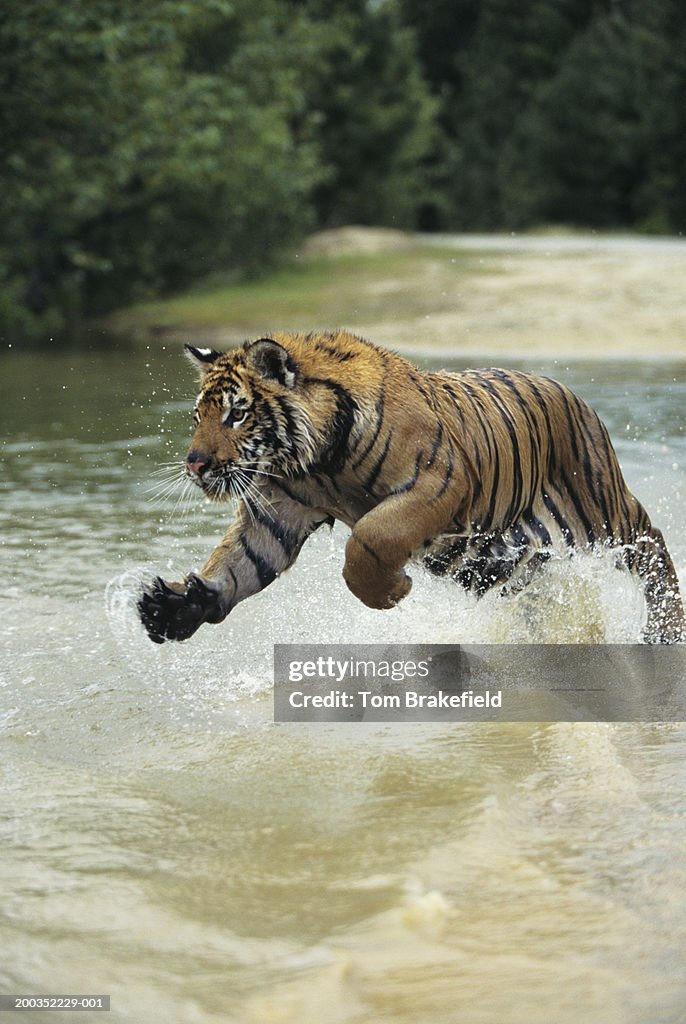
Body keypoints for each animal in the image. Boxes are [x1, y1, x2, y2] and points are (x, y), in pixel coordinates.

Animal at [137, 331, 683, 643]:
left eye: (237, 414)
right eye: (198, 417)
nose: (195, 465)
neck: (315, 463)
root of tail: (573, 394)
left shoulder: (438, 484)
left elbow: (370, 540)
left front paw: (390, 592)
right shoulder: (277, 514)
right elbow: (238, 563)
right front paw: (173, 608)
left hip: (600, 511)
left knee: (653, 545)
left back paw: (664, 631)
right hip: (506, 558)